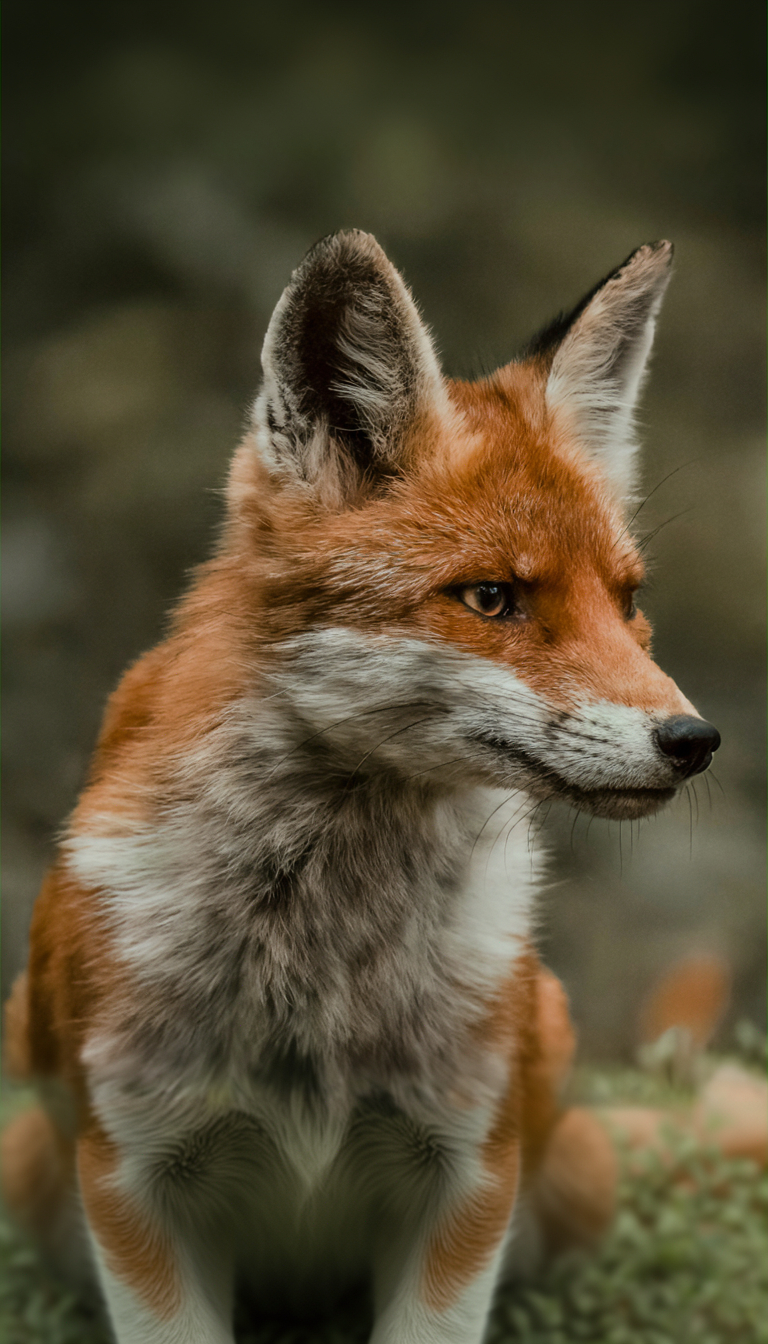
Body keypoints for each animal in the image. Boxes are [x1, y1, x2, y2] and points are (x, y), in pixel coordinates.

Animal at [2, 230, 720, 1344]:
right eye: (492, 598)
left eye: (628, 600)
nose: (694, 740)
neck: (325, 971)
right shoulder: (131, 1173)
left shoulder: (468, 1168)